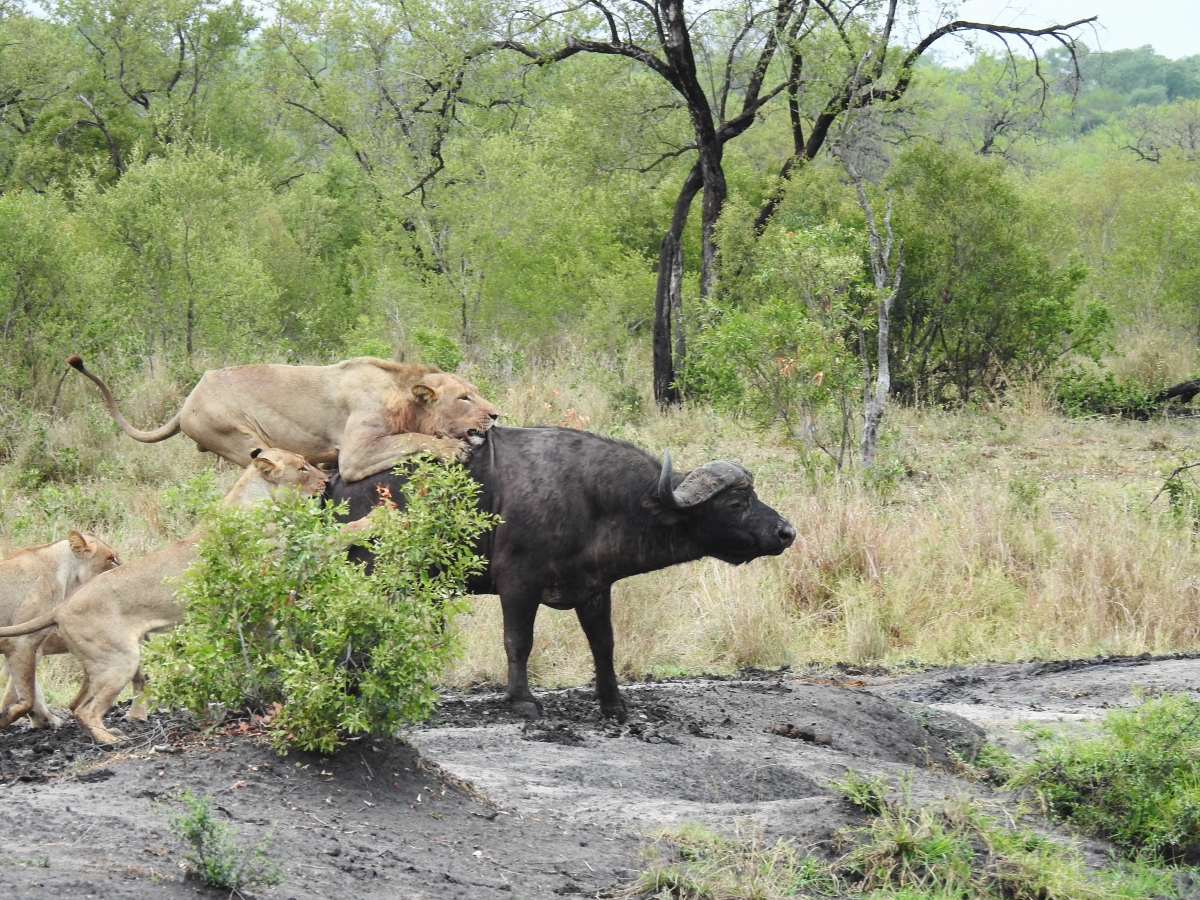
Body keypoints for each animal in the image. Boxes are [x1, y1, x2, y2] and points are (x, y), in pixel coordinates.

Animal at [0, 532, 121, 729]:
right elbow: (26, 695)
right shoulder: (20, 641)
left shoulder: (31, 647)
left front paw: (42, 719)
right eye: (111, 559)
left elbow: (31, 689)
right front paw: (6, 716)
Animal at [68, 355, 499, 487]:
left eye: (475, 391)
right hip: (242, 440)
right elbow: (412, 440)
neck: (401, 392)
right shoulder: (356, 454)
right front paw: (453, 449)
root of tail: (189, 398)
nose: (496, 414)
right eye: (464, 397)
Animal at [328, 427, 796, 724]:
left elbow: (604, 645)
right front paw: (522, 701)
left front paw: (613, 704)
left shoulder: (595, 589)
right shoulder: (518, 583)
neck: (594, 501)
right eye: (736, 503)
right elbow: (519, 641)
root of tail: (339, 482)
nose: (785, 532)